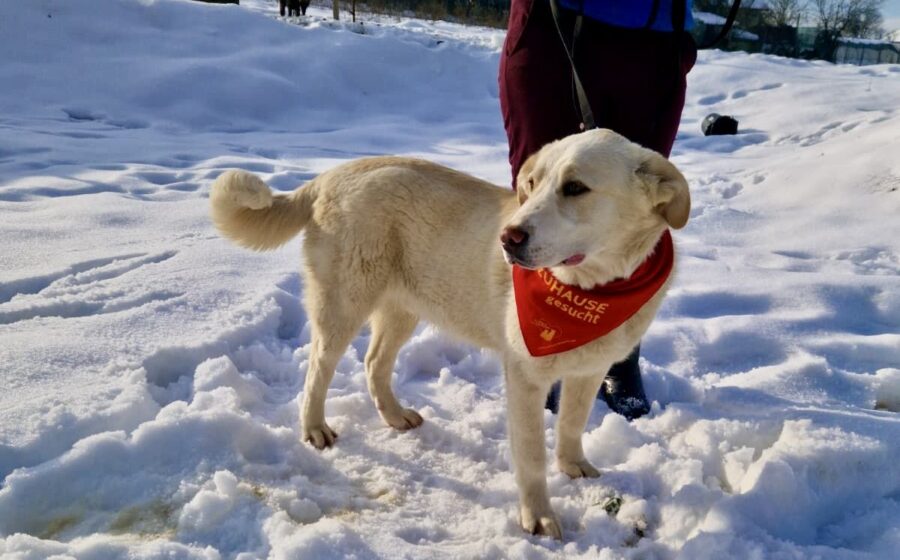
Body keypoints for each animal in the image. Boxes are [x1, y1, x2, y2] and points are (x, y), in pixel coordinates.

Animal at [210, 129, 690, 539]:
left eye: (575, 188)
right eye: (531, 184)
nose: (508, 238)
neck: (594, 290)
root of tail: (330, 175)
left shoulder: (589, 371)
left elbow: (571, 425)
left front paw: (573, 467)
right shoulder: (525, 379)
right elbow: (532, 456)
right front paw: (537, 517)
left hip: (402, 309)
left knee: (374, 362)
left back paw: (394, 415)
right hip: (343, 305)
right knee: (317, 370)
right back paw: (314, 429)